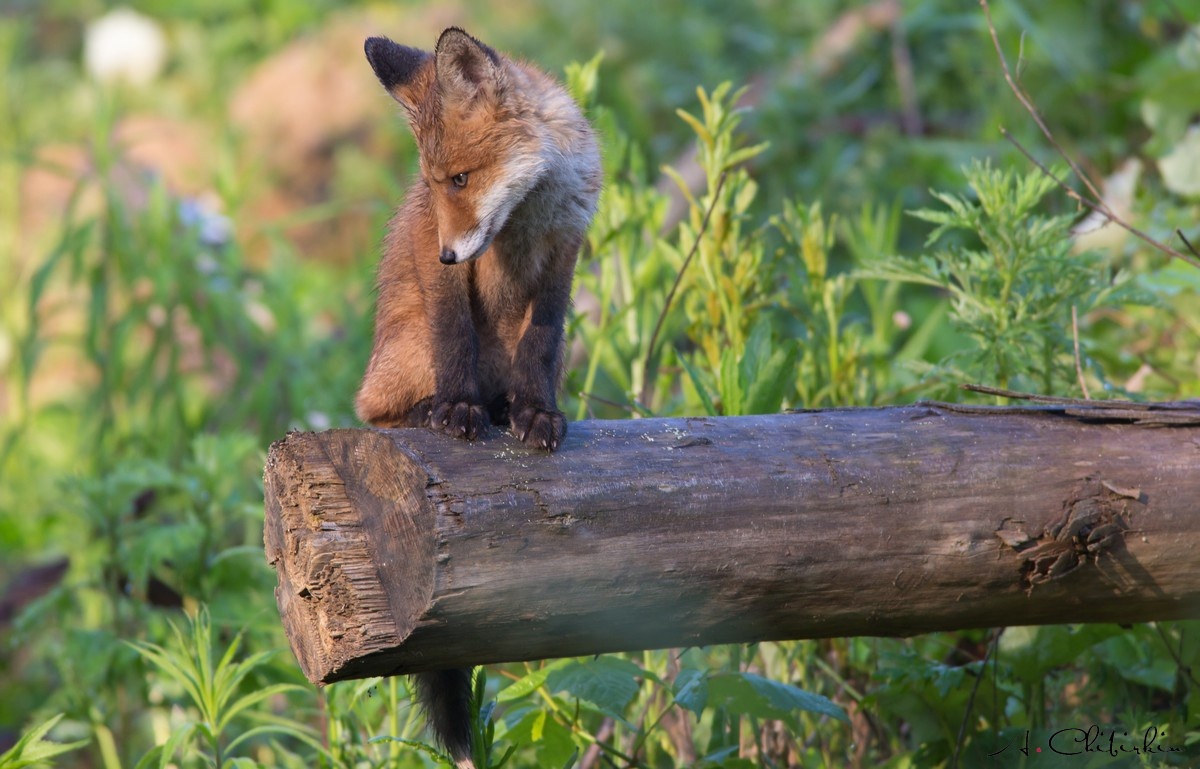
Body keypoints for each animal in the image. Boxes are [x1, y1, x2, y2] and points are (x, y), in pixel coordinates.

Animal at [352, 25, 600, 767]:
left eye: (462, 178)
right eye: (435, 185)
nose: (445, 253)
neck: (528, 217)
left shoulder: (564, 256)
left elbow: (541, 345)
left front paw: (537, 413)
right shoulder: (447, 286)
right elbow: (454, 337)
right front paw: (458, 411)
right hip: (397, 359)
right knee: (379, 412)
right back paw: (440, 411)